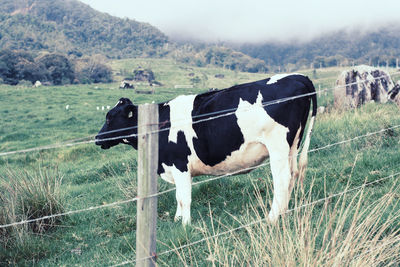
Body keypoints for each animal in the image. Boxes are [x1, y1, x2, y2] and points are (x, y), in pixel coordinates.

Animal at [95, 75, 318, 226]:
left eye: (110, 117)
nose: (97, 139)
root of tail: (297, 76)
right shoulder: (175, 168)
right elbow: (178, 196)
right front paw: (177, 219)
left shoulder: (179, 164)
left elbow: (184, 197)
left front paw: (185, 224)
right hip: (292, 146)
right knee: (292, 175)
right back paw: (284, 212)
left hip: (278, 146)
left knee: (282, 180)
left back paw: (272, 218)